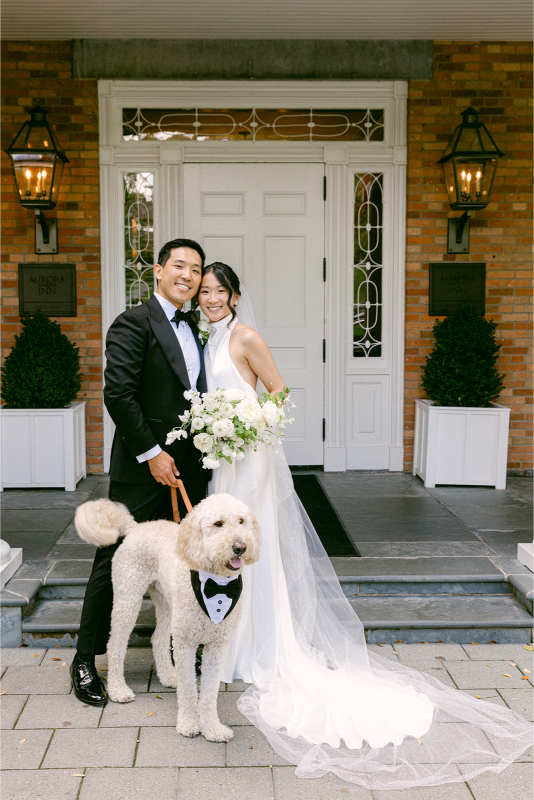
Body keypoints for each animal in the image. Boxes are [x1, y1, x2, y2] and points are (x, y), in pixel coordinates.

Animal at [74, 494, 262, 744]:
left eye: (241, 521)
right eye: (218, 523)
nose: (240, 547)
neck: (216, 584)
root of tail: (135, 527)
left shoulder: (217, 645)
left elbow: (209, 692)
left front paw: (212, 728)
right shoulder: (185, 643)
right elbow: (189, 689)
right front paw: (188, 723)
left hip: (165, 602)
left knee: (158, 638)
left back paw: (168, 675)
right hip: (128, 597)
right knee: (115, 644)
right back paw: (117, 690)